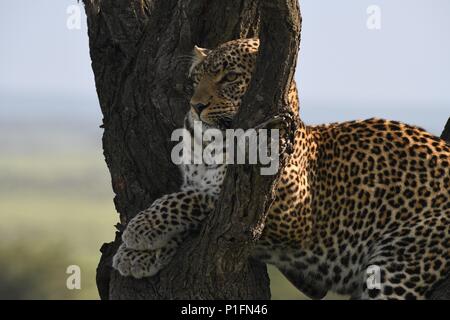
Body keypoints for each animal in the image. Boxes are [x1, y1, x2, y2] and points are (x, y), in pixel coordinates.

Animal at [112, 37, 450, 300]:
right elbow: (189, 205)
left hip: (403, 260)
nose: (196, 106)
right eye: (196, 80)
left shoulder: (288, 212)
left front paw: (141, 229)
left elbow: (194, 199)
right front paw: (135, 255)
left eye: (230, 77)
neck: (211, 145)